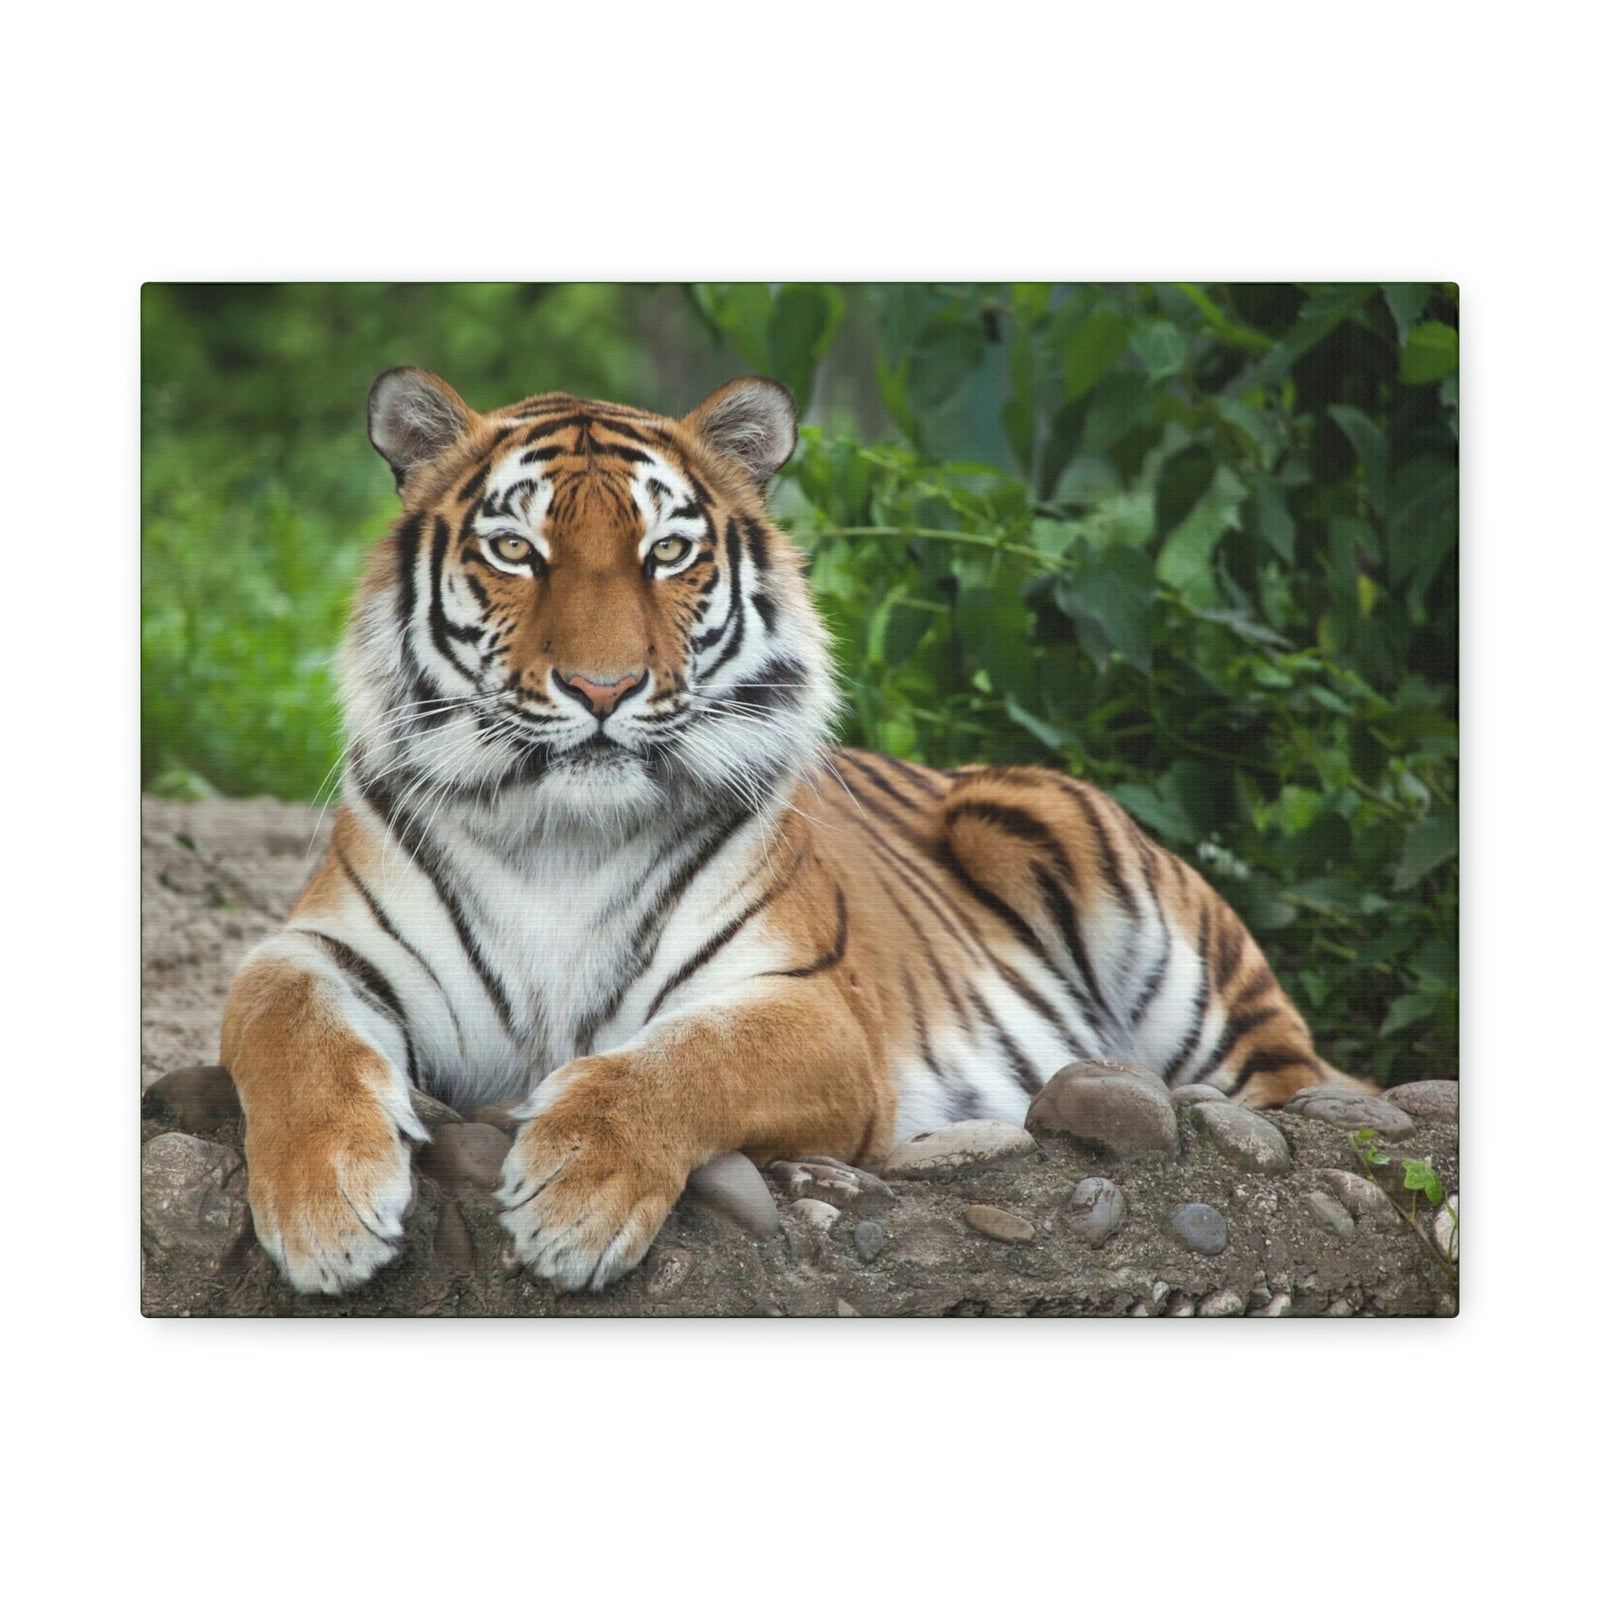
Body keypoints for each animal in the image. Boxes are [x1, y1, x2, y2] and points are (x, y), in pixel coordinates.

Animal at [219, 366, 1367, 1296]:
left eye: (667, 553)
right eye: (515, 550)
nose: (602, 688)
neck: (561, 837)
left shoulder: (812, 1011)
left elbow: (683, 1061)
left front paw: (574, 1194)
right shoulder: (320, 947)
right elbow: (285, 1025)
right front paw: (326, 1212)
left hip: (1096, 879)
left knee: (1301, 1085)